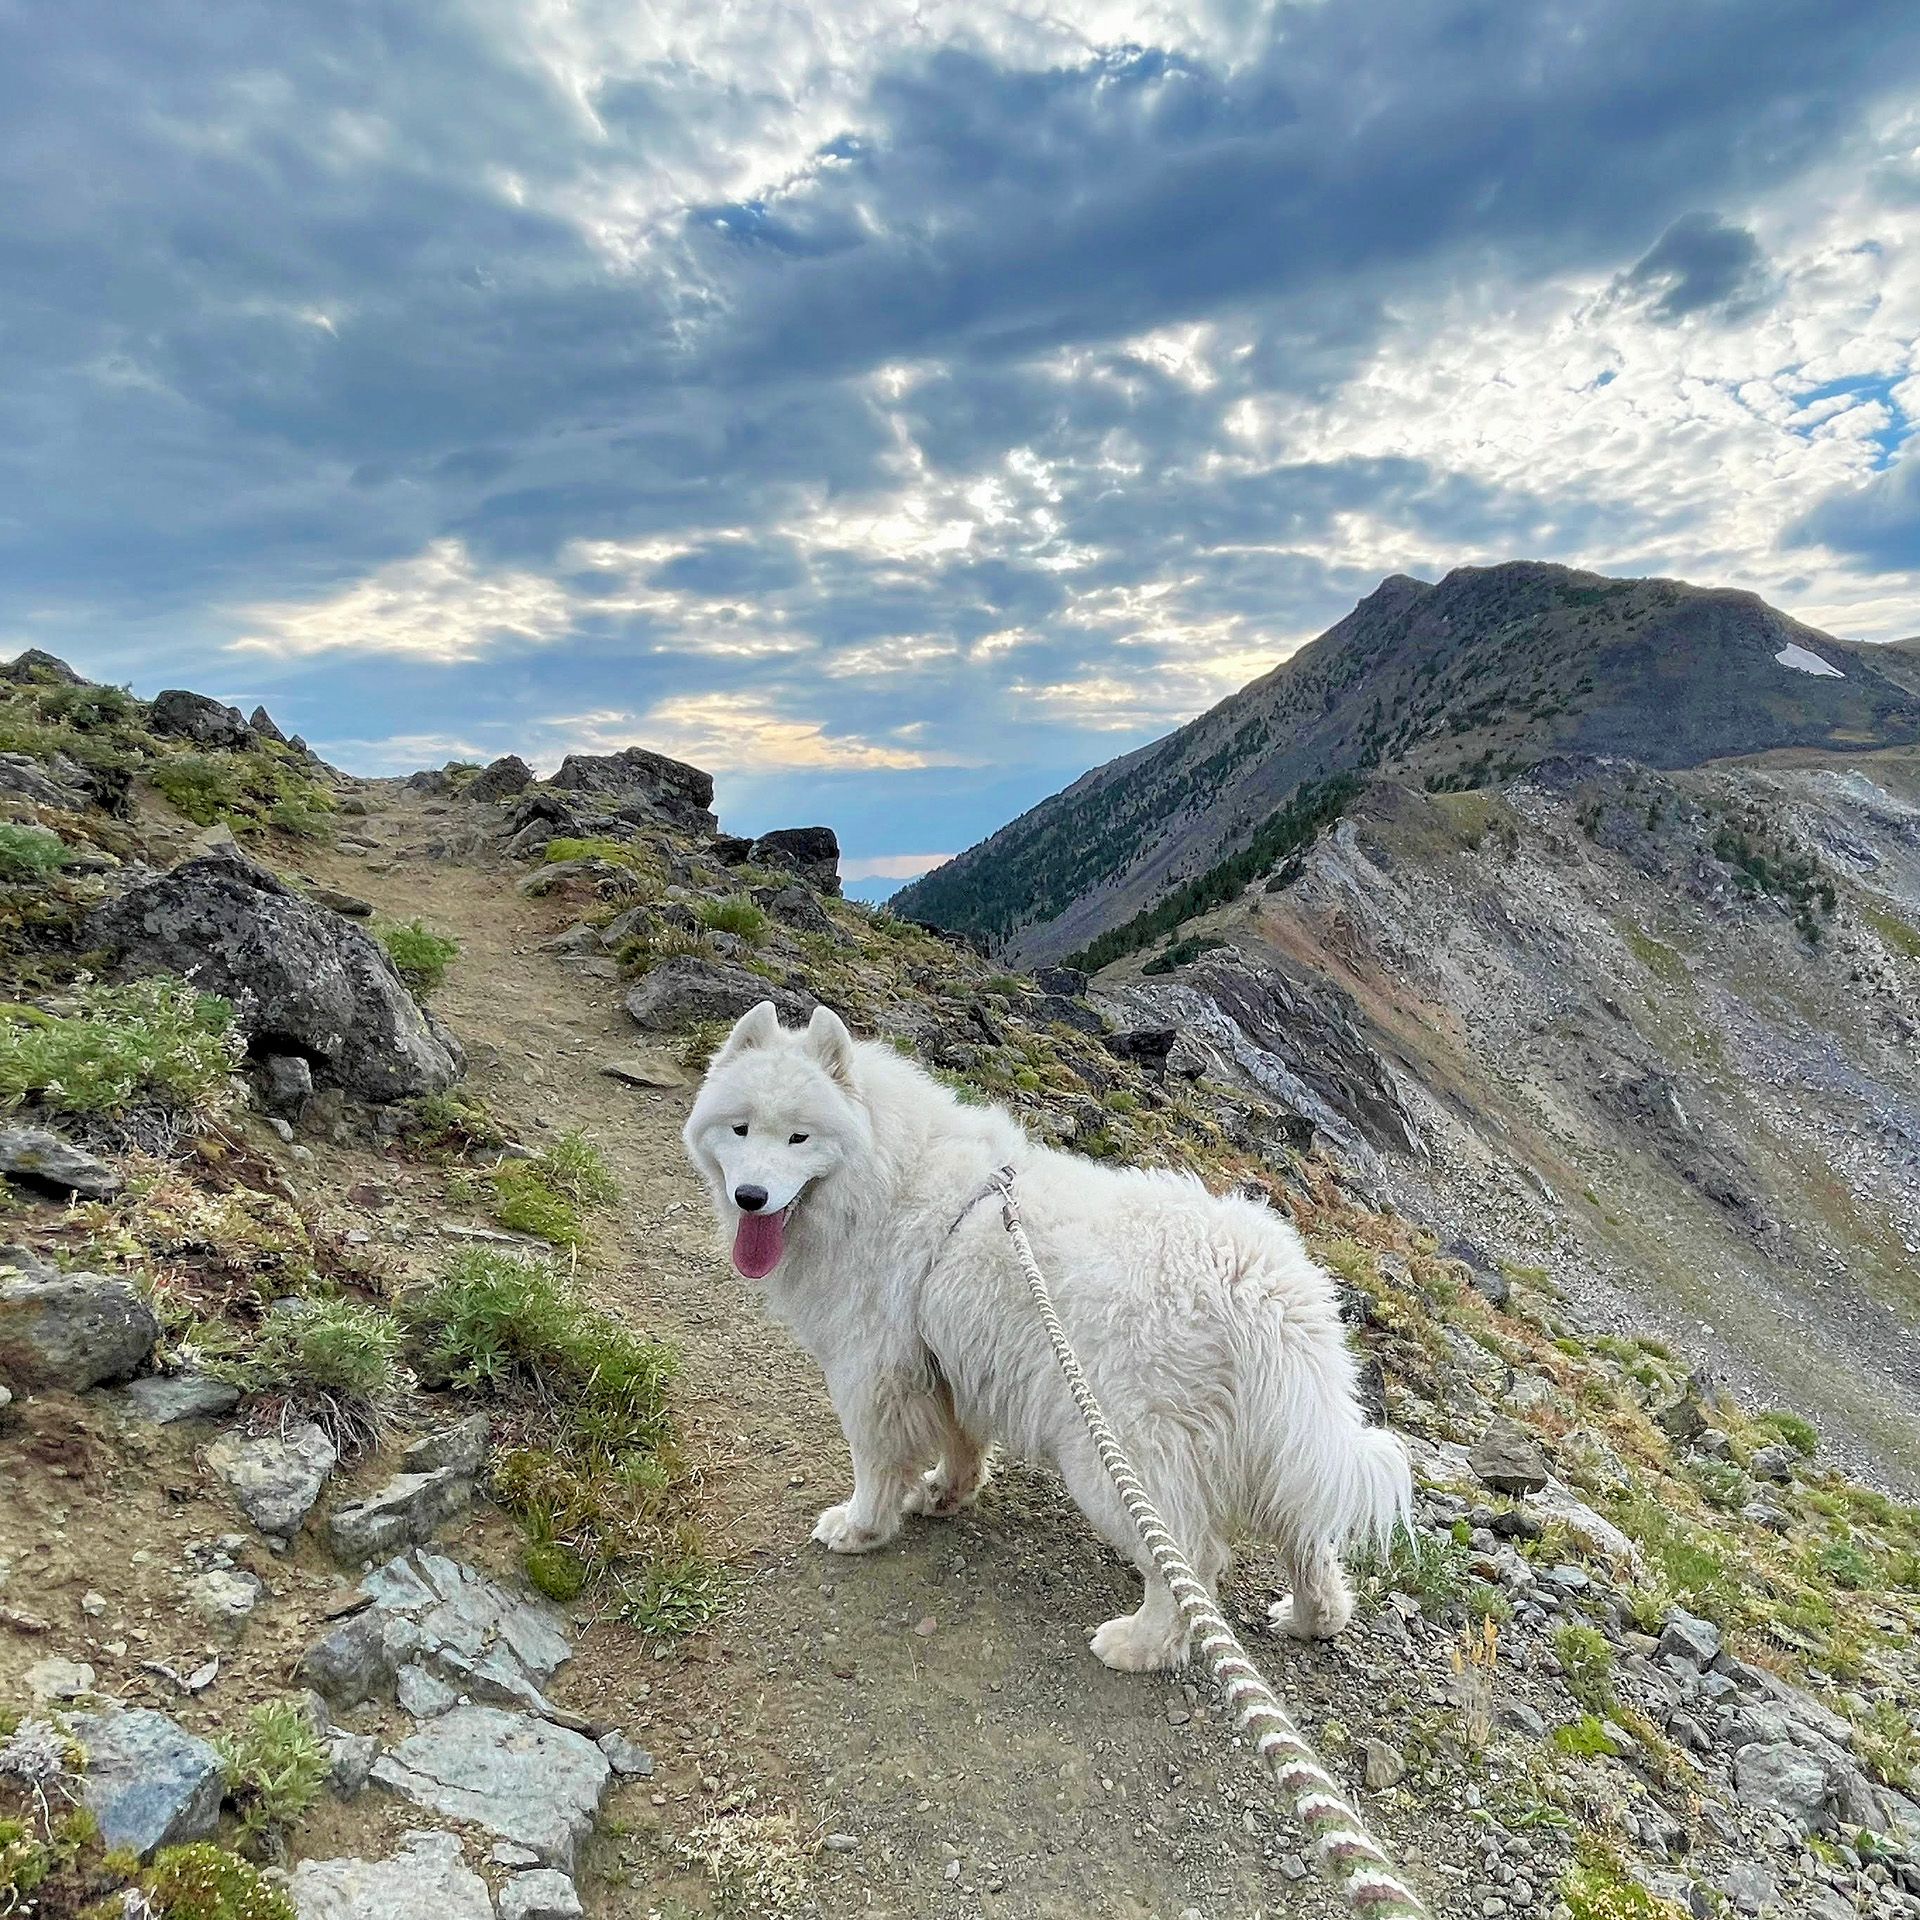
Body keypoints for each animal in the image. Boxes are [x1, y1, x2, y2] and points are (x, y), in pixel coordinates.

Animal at [683, 998, 1405, 1674]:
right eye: (740, 1128)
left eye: (799, 1138)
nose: (751, 1196)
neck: (881, 1176)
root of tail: (1263, 1284)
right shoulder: (948, 1362)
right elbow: (960, 1443)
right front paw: (946, 1494)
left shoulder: (872, 1373)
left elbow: (876, 1464)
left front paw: (860, 1528)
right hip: (1274, 1448)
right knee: (1307, 1539)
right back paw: (1312, 1618)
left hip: (1114, 1451)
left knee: (1192, 1558)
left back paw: (1140, 1645)